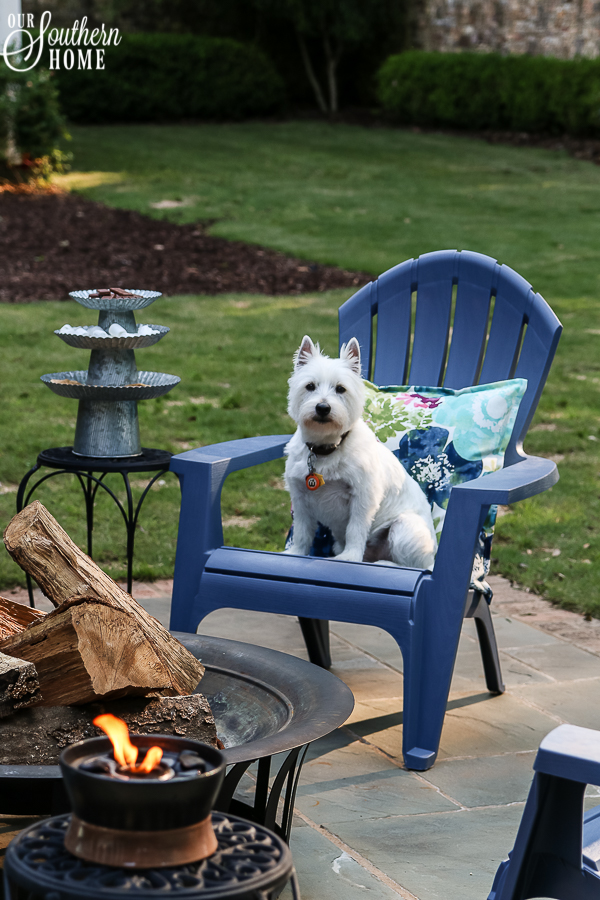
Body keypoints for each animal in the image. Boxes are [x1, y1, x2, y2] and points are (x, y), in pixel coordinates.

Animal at [284, 334, 438, 568]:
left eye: (340, 388)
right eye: (309, 386)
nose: (322, 408)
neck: (326, 448)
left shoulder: (363, 495)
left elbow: (355, 529)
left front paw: (350, 557)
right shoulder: (300, 498)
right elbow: (302, 532)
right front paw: (296, 553)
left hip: (405, 528)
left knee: (411, 565)